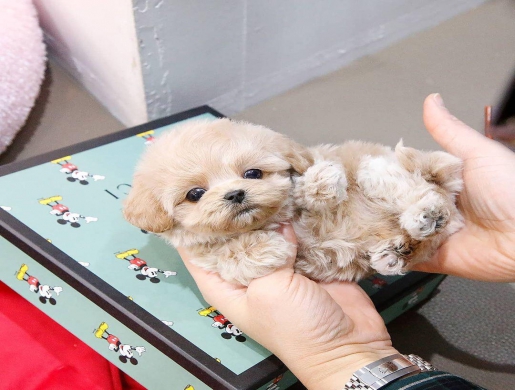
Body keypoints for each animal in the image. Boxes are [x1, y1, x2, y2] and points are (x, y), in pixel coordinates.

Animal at [124, 117, 464, 284]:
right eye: (194, 194)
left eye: (253, 173)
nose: (235, 193)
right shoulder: (209, 257)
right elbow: (230, 255)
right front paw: (265, 246)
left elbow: (311, 182)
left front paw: (319, 182)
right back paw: (395, 253)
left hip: (380, 170)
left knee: (417, 193)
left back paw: (426, 215)